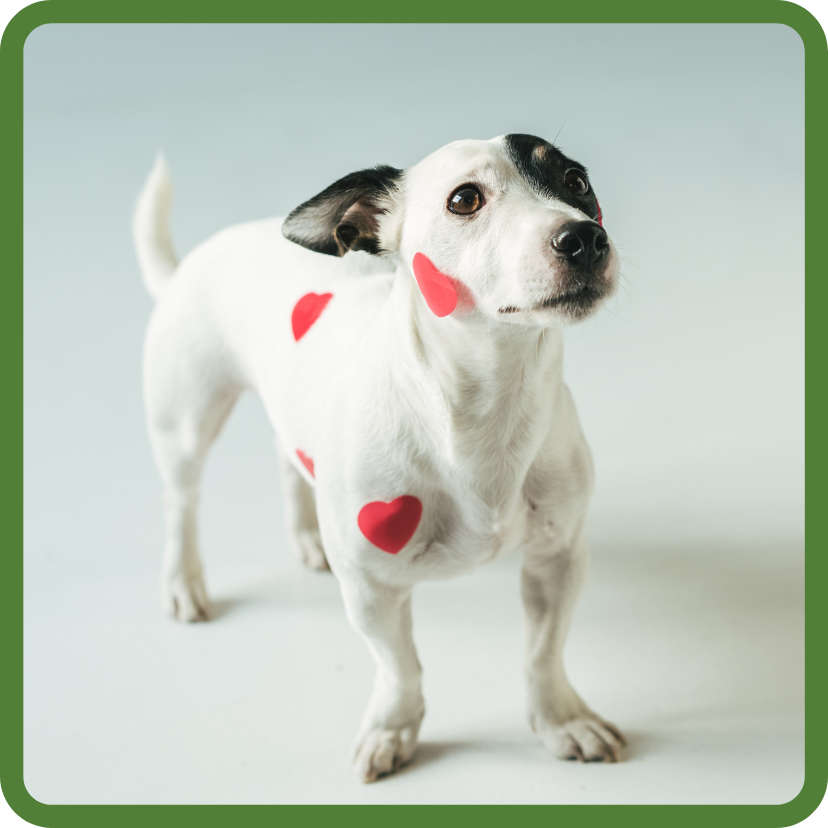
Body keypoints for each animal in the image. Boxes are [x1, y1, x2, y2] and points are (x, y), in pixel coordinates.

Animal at [134, 133, 628, 780]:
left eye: (576, 182)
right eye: (464, 199)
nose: (584, 237)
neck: (488, 406)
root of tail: (196, 259)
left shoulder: (559, 558)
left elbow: (543, 653)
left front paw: (560, 718)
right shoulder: (371, 588)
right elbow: (399, 666)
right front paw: (394, 726)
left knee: (286, 456)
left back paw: (305, 536)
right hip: (186, 423)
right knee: (181, 503)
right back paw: (183, 580)